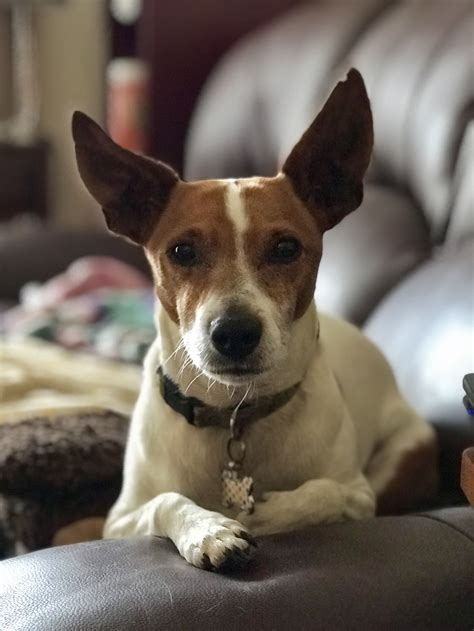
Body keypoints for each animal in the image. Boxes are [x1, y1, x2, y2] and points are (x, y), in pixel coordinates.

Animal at [71, 69, 436, 572]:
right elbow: (168, 500)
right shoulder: (123, 517)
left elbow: (318, 495)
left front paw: (259, 513)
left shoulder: (358, 496)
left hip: (407, 447)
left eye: (286, 248)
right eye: (182, 251)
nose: (234, 333)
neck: (234, 414)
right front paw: (209, 528)